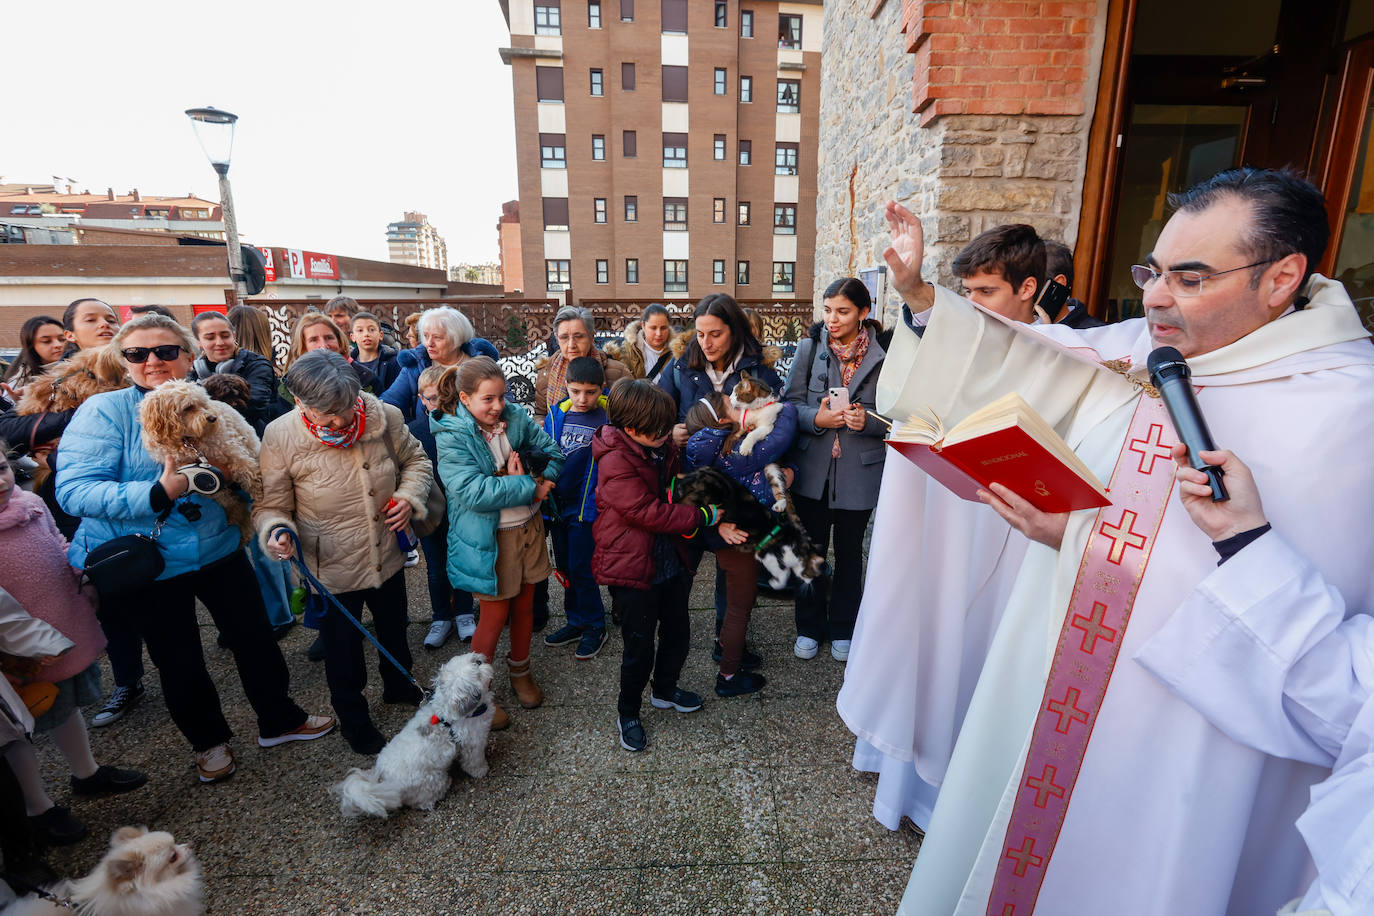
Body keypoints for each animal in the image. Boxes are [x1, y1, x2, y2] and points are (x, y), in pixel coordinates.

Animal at [331, 656, 494, 818]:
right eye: (477, 674)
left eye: (474, 660)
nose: (480, 661)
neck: (446, 715)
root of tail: (383, 780)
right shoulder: (473, 743)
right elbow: (474, 761)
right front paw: (481, 770)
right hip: (432, 780)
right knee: (422, 802)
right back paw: (444, 787)